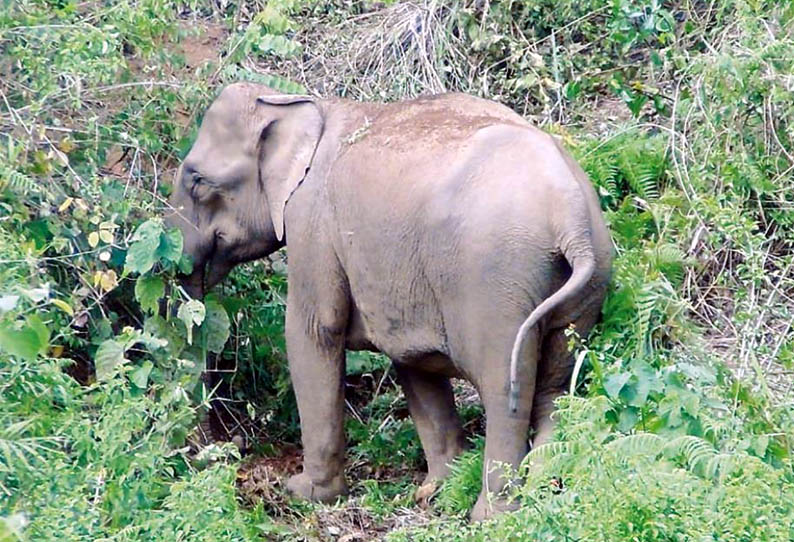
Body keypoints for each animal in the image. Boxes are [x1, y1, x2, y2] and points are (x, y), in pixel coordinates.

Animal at [167, 82, 608, 524]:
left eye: (197, 180)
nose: (225, 451)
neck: (298, 104)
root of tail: (570, 217)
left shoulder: (311, 220)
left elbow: (313, 331)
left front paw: (306, 493)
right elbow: (412, 358)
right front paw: (435, 492)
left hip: (497, 283)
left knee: (504, 389)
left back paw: (493, 515)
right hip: (586, 288)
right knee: (555, 390)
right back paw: (540, 498)